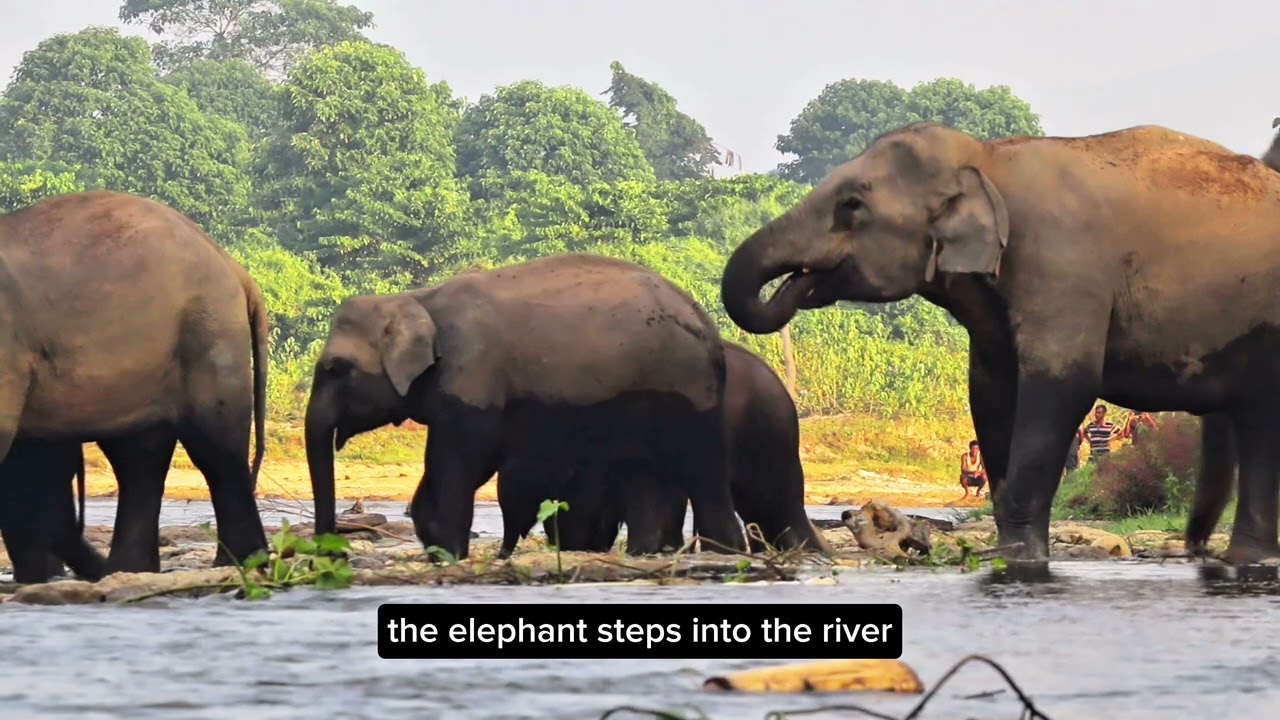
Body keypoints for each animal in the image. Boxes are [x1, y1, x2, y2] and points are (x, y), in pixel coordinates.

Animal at [0, 190, 270, 582]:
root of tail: (234, 268)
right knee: (139, 458)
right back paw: (123, 571)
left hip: (208, 334)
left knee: (216, 449)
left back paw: (238, 562)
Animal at [305, 252, 747, 560]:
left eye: (335, 369)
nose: (332, 554)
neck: (417, 298)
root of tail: (709, 328)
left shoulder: (472, 375)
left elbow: (460, 462)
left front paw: (448, 552)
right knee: (644, 479)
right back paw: (648, 555)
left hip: (689, 394)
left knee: (702, 475)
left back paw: (727, 555)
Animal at [719, 121, 1280, 564]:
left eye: (852, 205)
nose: (796, 283)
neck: (988, 158)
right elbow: (990, 394)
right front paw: (1013, 555)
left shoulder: (1061, 272)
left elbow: (1061, 387)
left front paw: (1021, 560)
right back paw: (1246, 559)